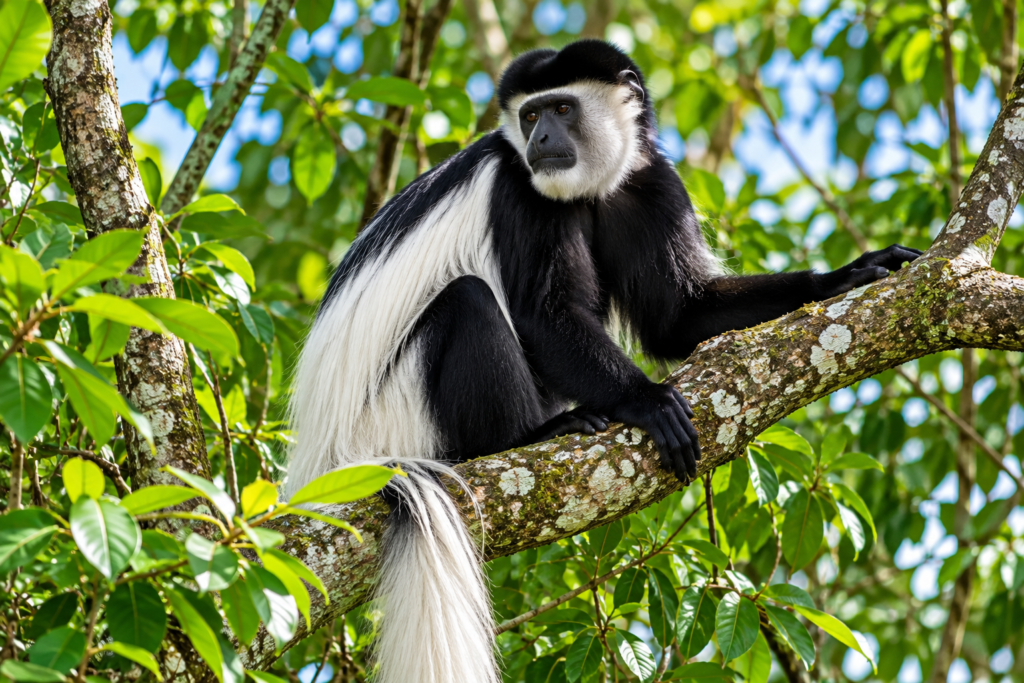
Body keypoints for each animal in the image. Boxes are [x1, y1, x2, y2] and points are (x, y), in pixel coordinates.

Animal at [286, 39, 921, 683]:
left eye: (562, 108)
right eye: (530, 115)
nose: (540, 138)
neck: (589, 188)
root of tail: (337, 461)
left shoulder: (651, 183)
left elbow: (680, 315)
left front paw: (846, 275)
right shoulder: (521, 189)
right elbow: (545, 312)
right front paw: (650, 402)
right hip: (397, 413)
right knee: (468, 300)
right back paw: (531, 435)